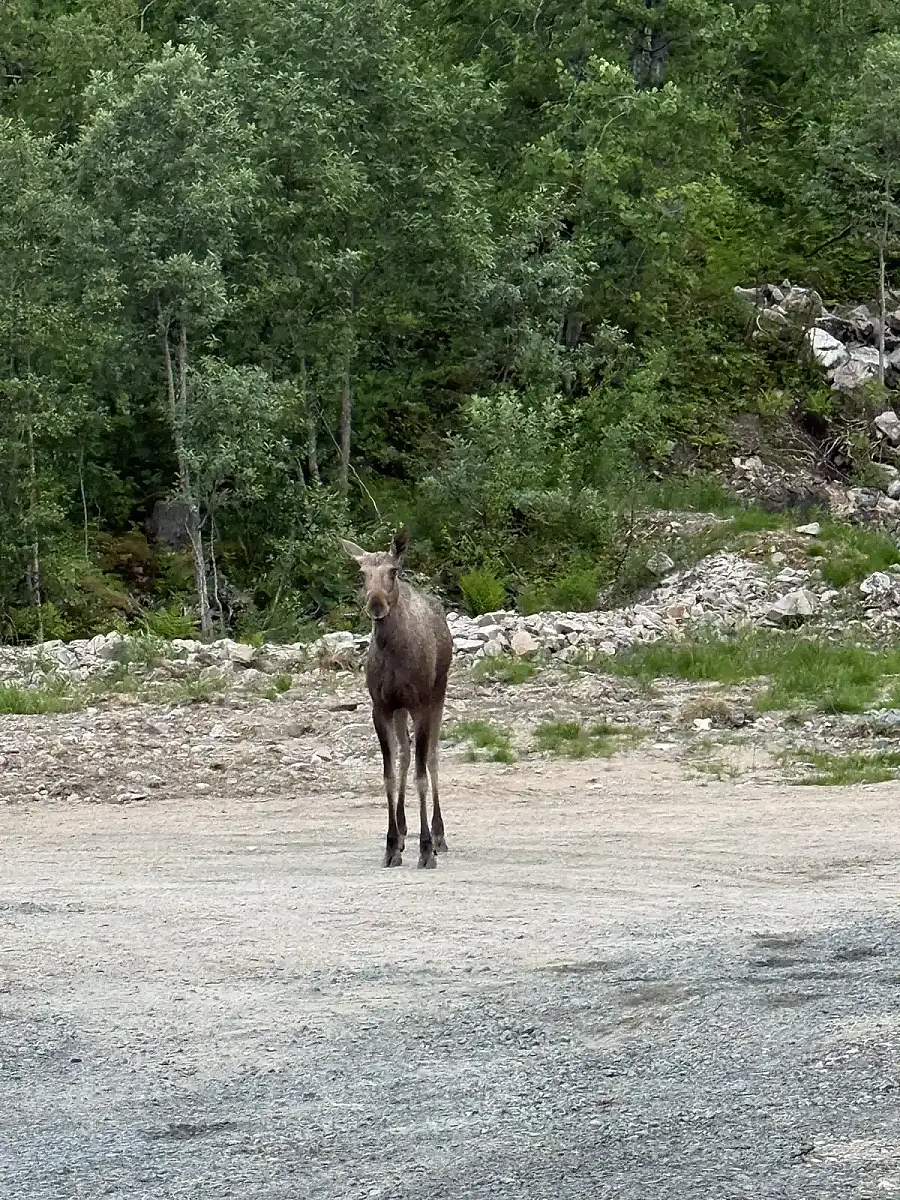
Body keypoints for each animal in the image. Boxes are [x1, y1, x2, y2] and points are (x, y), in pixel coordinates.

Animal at [340, 528, 453, 869]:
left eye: (392, 571)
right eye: (362, 573)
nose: (376, 604)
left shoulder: (421, 705)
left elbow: (421, 775)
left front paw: (426, 848)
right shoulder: (382, 707)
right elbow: (389, 774)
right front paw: (391, 844)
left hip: (438, 694)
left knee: (432, 757)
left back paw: (439, 835)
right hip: (402, 709)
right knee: (405, 752)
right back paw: (403, 831)